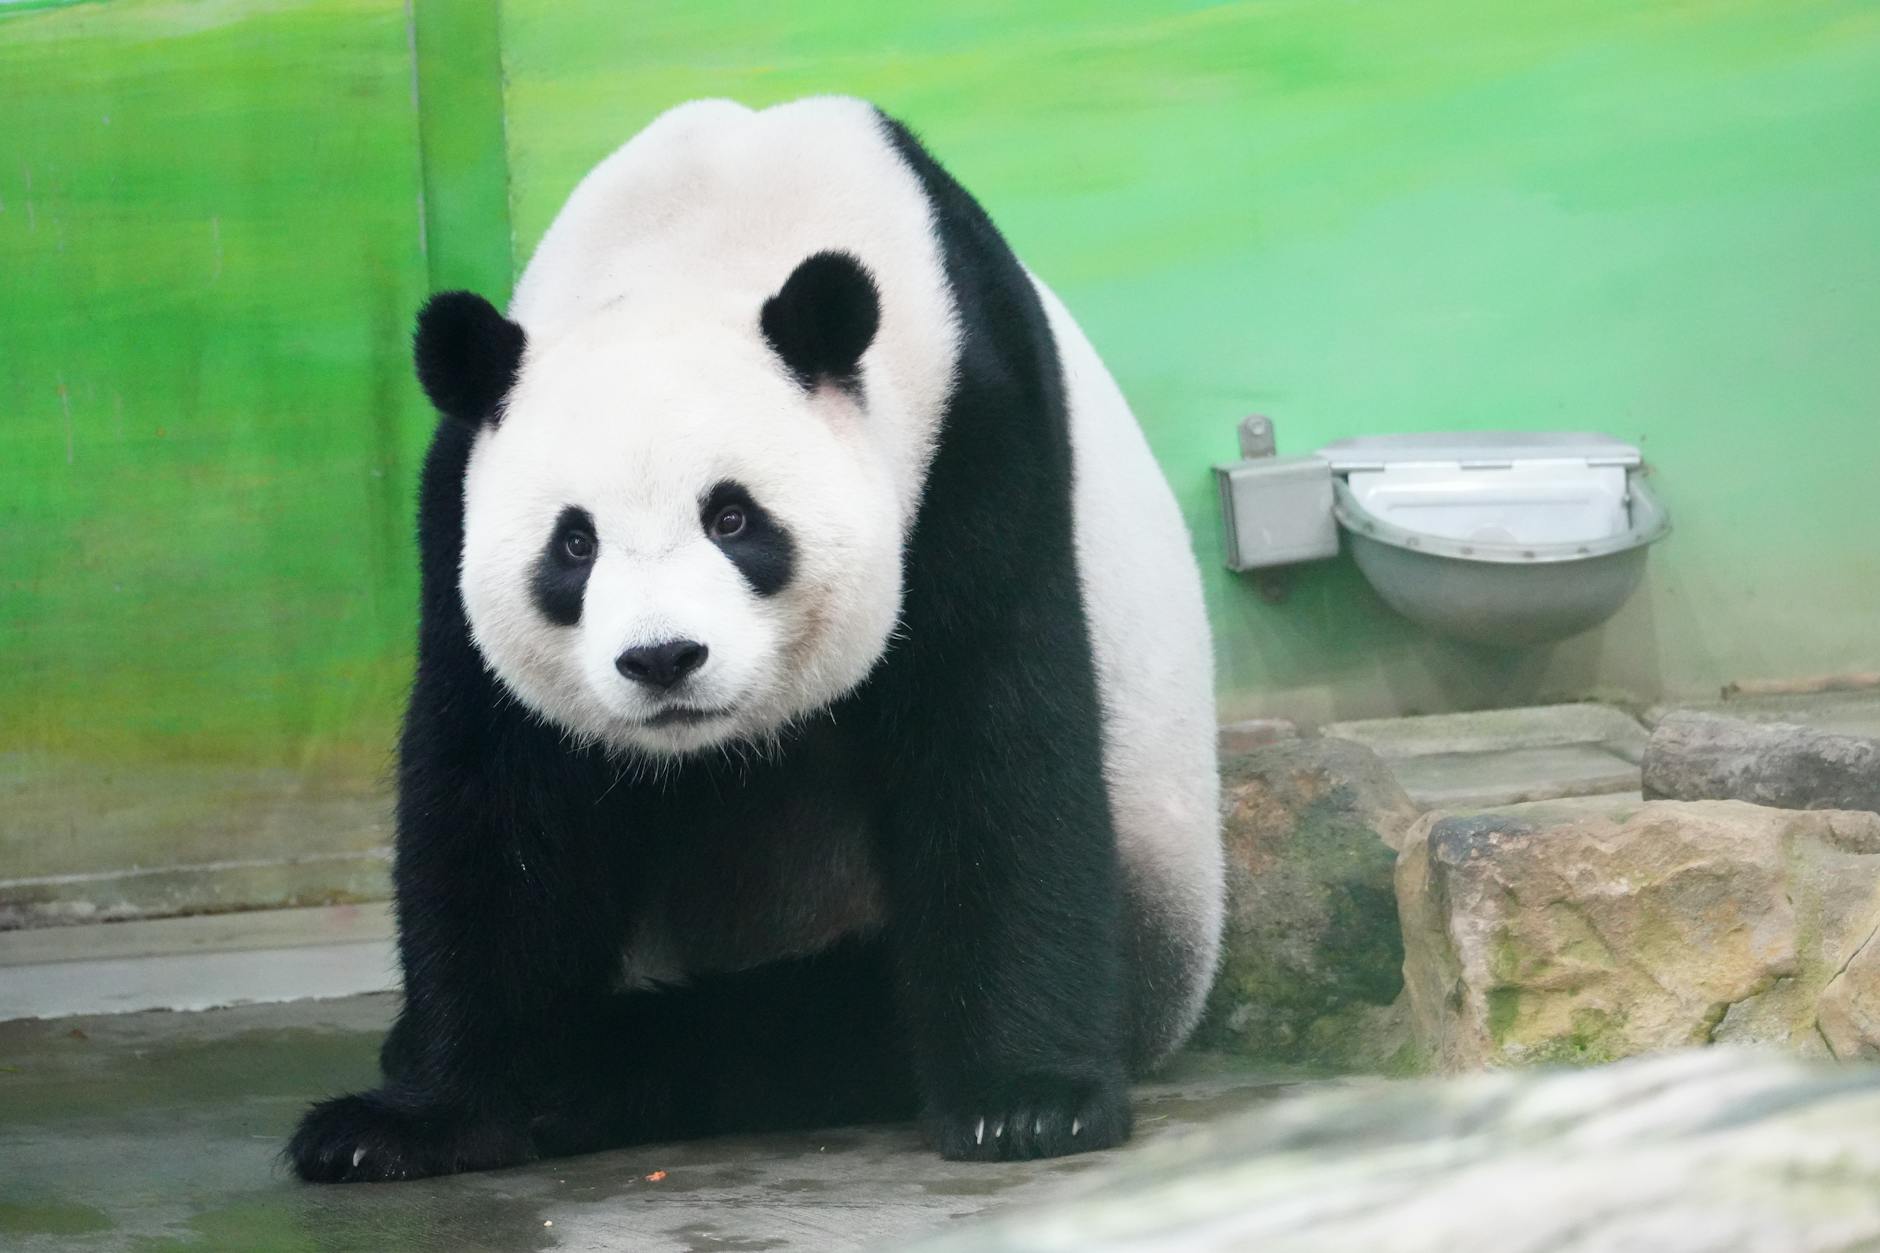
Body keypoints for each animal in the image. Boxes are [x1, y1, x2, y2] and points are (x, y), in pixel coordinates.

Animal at [289, 96, 1222, 1182]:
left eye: (733, 519)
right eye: (573, 543)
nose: (662, 659)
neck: (705, 226)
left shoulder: (976, 438)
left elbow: (995, 741)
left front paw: (1026, 1104)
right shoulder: (458, 498)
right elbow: (496, 796)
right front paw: (409, 1120)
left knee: (823, 1019)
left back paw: (607, 1066)